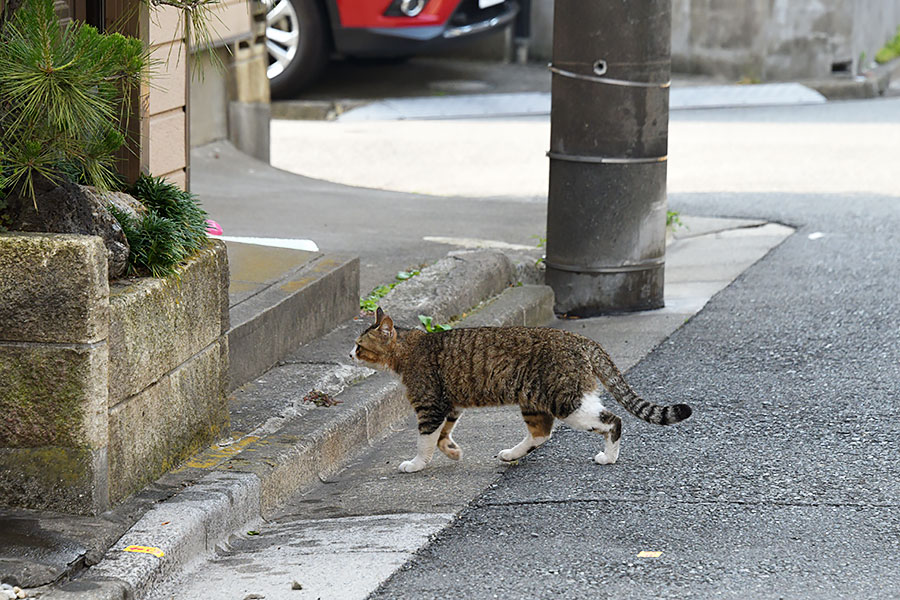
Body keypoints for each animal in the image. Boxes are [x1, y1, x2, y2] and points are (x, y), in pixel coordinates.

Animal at [350, 310, 688, 474]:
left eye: (359, 346)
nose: (350, 354)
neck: (410, 347)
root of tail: (581, 339)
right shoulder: (450, 405)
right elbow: (444, 435)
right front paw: (453, 451)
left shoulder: (430, 405)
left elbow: (425, 441)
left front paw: (416, 464)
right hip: (535, 400)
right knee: (541, 433)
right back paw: (512, 453)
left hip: (567, 401)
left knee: (612, 420)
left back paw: (609, 457)